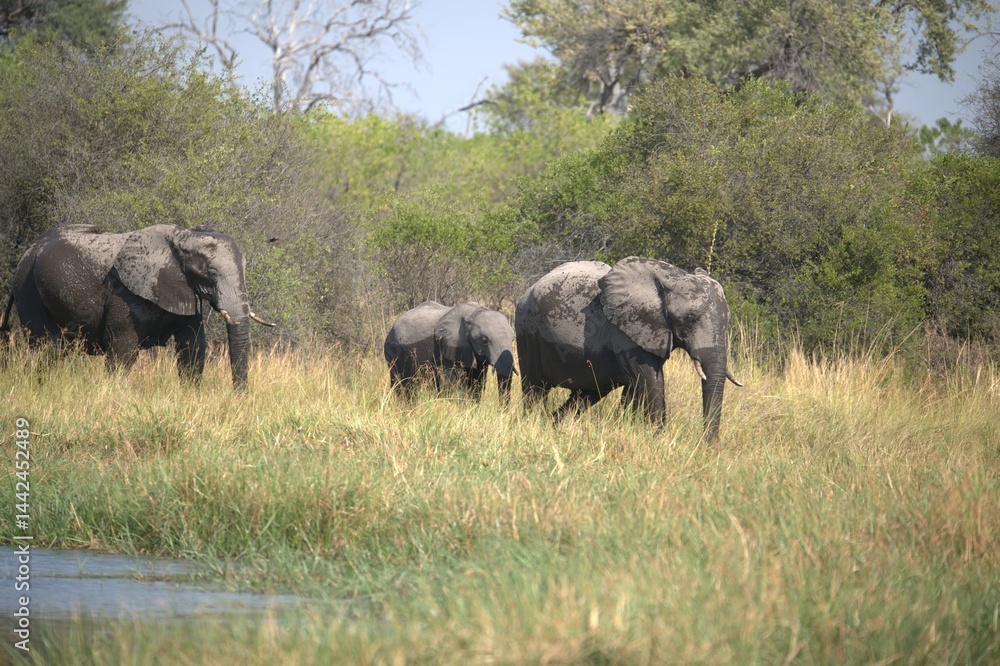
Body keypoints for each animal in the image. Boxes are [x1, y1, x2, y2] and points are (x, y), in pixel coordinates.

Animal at [0, 224, 273, 389]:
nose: (240, 398)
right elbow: (123, 349)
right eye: (211, 273)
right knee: (46, 347)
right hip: (28, 289)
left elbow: (193, 346)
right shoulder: (125, 295)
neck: (183, 238)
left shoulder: (185, 290)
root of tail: (29, 249)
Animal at [383, 301, 516, 402]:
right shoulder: (449, 346)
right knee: (402, 383)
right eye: (484, 340)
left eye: (513, 338)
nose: (503, 411)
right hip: (395, 351)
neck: (474, 313)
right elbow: (454, 384)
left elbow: (477, 383)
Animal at [514, 257, 742, 440]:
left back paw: (554, 425)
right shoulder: (626, 334)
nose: (708, 446)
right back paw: (534, 424)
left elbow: (635, 387)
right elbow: (650, 382)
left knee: (585, 395)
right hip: (527, 331)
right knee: (535, 389)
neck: (670, 279)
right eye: (690, 319)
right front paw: (657, 439)